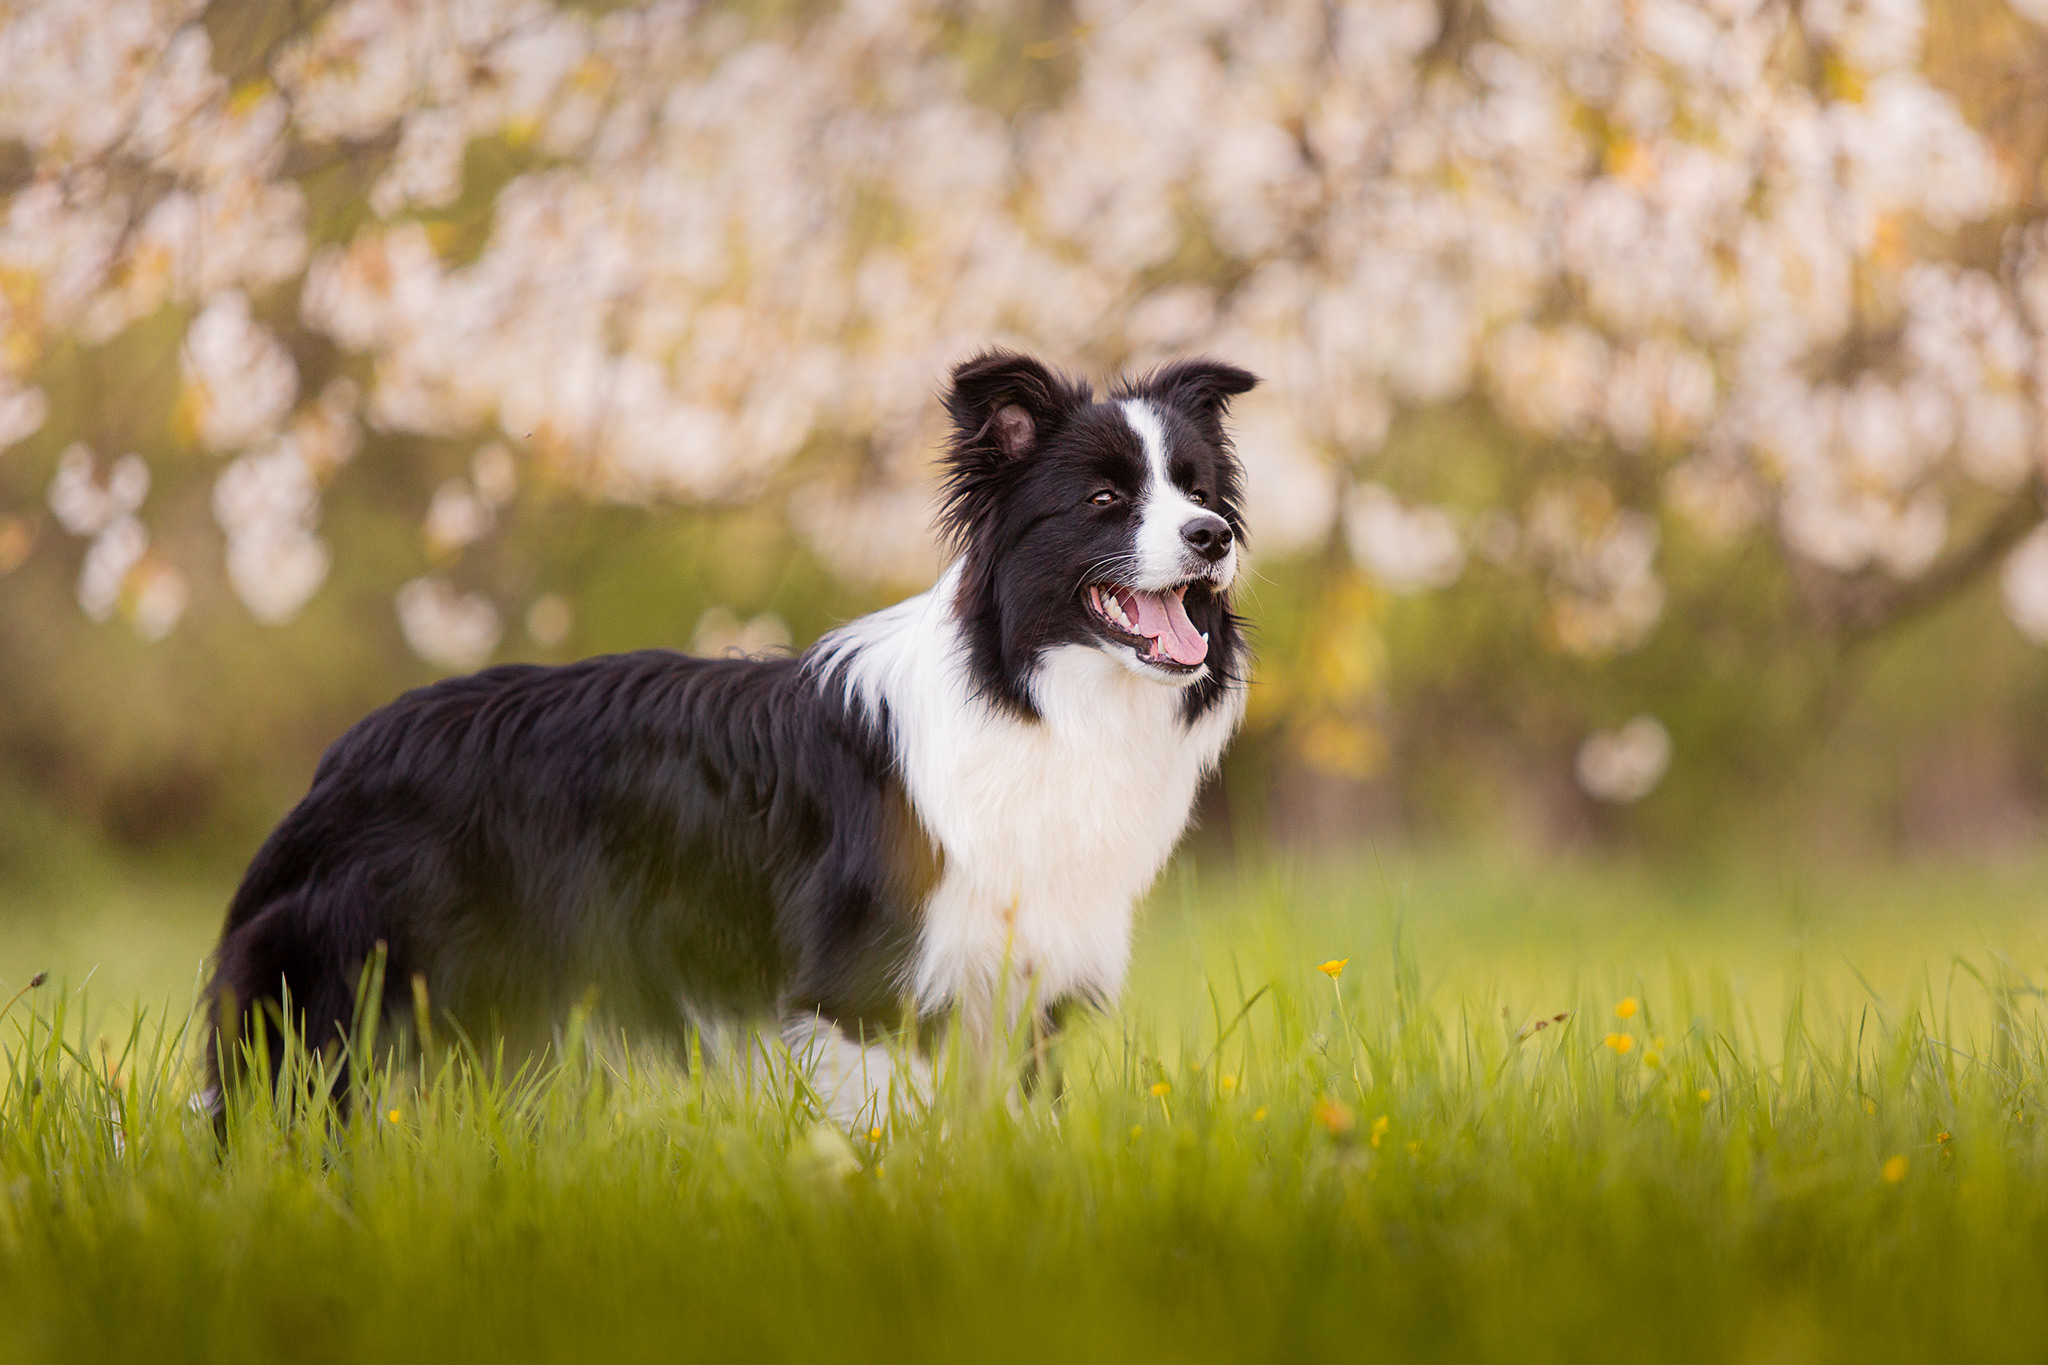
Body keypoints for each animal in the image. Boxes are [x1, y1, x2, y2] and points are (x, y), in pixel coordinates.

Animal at [211, 349, 1261, 1121]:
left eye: (1200, 490)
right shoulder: (866, 992)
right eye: (1103, 500)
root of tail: (350, 749)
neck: (1028, 690)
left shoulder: (1020, 989)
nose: (1213, 536)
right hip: (343, 995)